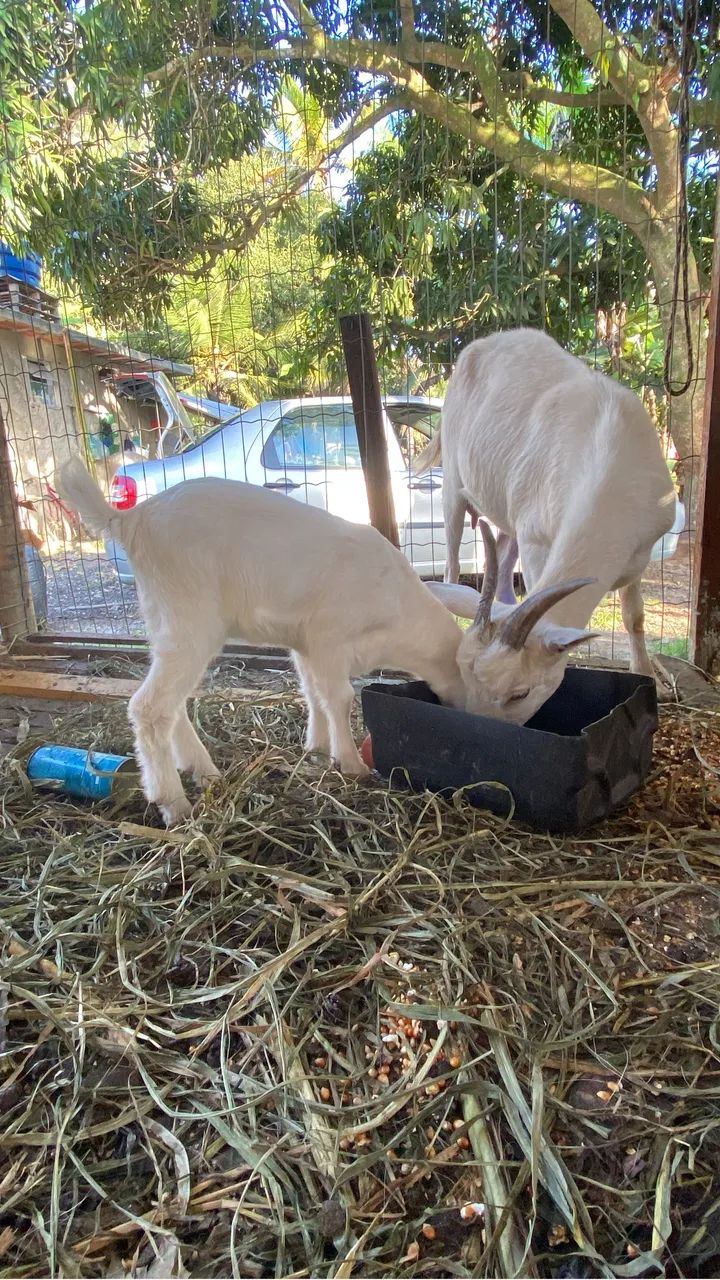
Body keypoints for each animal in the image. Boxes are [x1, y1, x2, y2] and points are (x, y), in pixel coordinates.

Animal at [58, 457, 596, 825]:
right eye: (518, 691)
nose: (485, 725)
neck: (394, 601)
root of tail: (131, 521)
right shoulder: (329, 638)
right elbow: (339, 696)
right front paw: (351, 764)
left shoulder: (303, 644)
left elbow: (312, 693)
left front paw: (315, 750)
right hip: (190, 617)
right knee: (150, 706)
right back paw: (175, 803)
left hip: (165, 621)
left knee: (175, 702)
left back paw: (205, 772)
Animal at [415, 327, 677, 679]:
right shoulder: (537, 538)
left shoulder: (641, 547)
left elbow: (633, 615)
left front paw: (646, 674)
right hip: (454, 483)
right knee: (452, 563)